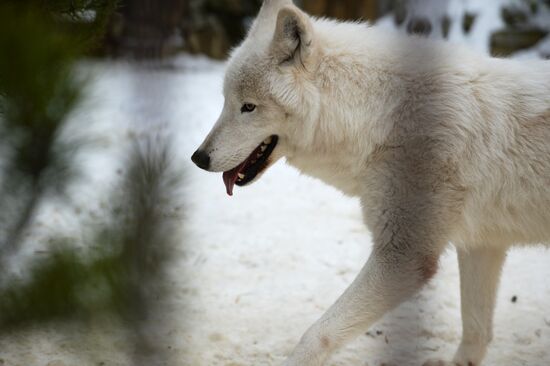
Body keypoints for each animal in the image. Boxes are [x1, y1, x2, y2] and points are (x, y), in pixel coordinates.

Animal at [191, 1, 550, 364]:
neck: (380, 118)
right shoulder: (481, 244)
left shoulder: (405, 257)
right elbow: (476, 330)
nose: (198, 158)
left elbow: (317, 334)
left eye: (248, 107)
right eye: (226, 101)